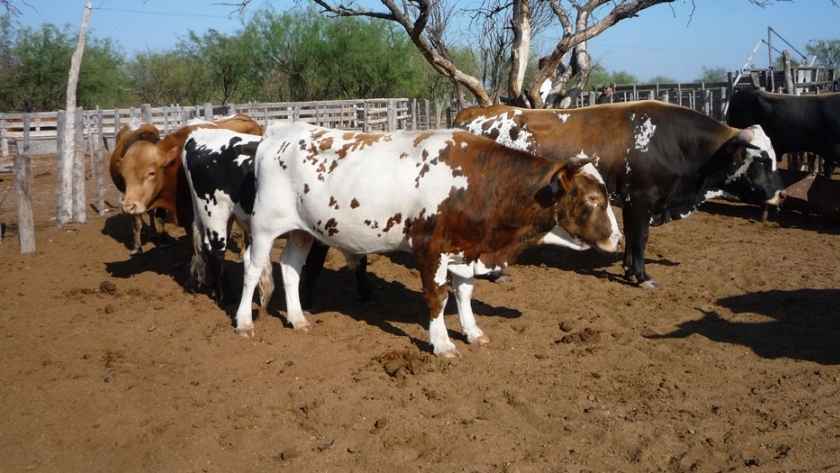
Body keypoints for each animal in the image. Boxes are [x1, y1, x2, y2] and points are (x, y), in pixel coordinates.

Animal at [233, 121, 620, 358]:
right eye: (592, 199)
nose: (617, 239)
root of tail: (279, 130)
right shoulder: (430, 249)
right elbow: (438, 298)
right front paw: (443, 343)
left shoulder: (465, 249)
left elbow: (464, 294)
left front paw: (473, 331)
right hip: (264, 224)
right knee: (252, 270)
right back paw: (244, 322)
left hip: (302, 230)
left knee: (290, 268)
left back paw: (298, 318)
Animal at [452, 101, 788, 290]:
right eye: (761, 160)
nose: (780, 195)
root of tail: (475, 113)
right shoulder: (639, 200)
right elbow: (640, 237)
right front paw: (641, 276)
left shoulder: (634, 204)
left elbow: (632, 238)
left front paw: (629, 270)